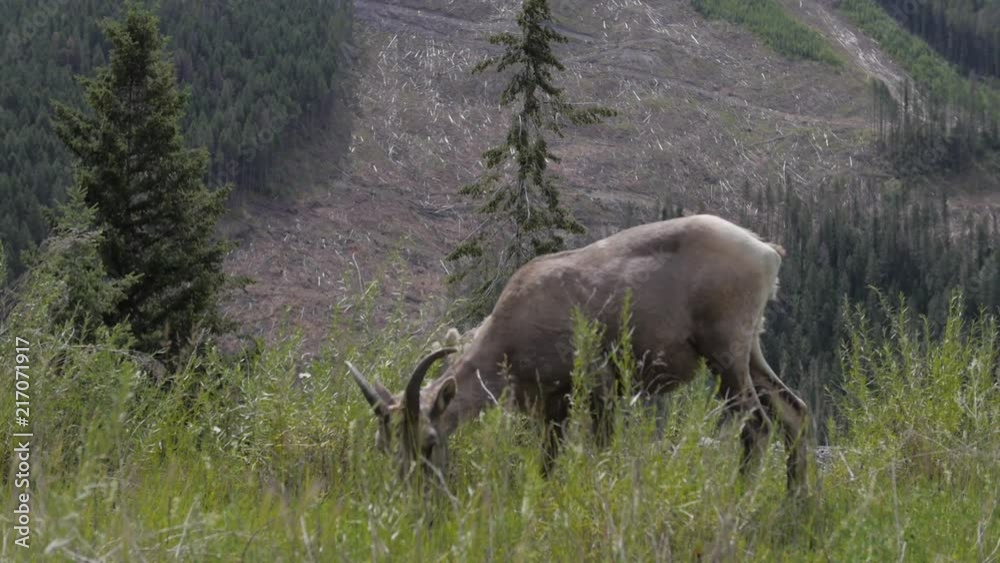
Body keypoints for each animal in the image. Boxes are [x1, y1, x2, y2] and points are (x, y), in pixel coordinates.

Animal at [347, 214, 811, 492]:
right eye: (383, 446)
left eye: (428, 441)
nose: (411, 494)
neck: (515, 324)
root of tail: (766, 252)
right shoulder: (552, 403)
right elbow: (547, 461)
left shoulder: (598, 385)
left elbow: (600, 449)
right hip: (751, 352)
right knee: (793, 411)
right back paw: (795, 501)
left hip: (725, 353)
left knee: (756, 423)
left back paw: (740, 498)